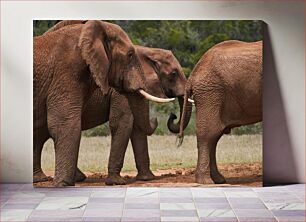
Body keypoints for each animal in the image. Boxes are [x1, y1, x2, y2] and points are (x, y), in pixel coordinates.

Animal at [169, 40, 262, 184]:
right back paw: (206, 181)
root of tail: (194, 73)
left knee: (214, 135)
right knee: (209, 133)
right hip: (210, 92)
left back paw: (219, 180)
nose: (173, 115)